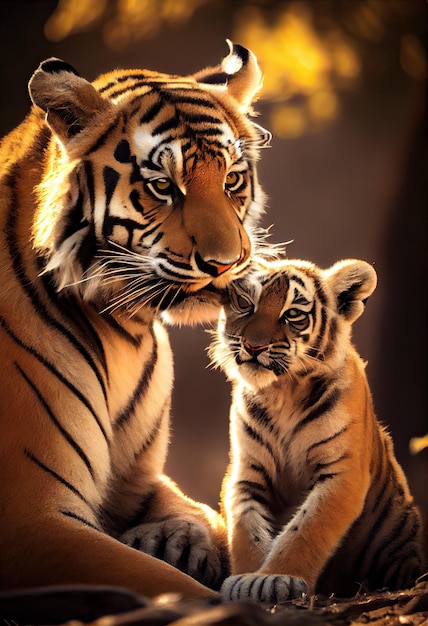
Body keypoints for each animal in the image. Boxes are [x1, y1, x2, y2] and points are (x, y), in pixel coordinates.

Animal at [0, 41, 268, 596]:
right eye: (163, 185)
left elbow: (202, 515)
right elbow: (168, 585)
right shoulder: (30, 516)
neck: (124, 328)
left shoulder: (141, 483)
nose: (225, 264)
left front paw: (178, 538)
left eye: (232, 179)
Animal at [208, 258, 424, 600]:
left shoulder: (342, 472)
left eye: (293, 313)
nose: (254, 346)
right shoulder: (246, 474)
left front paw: (275, 577)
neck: (282, 392)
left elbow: (307, 529)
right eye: (245, 303)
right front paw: (245, 580)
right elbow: (247, 529)